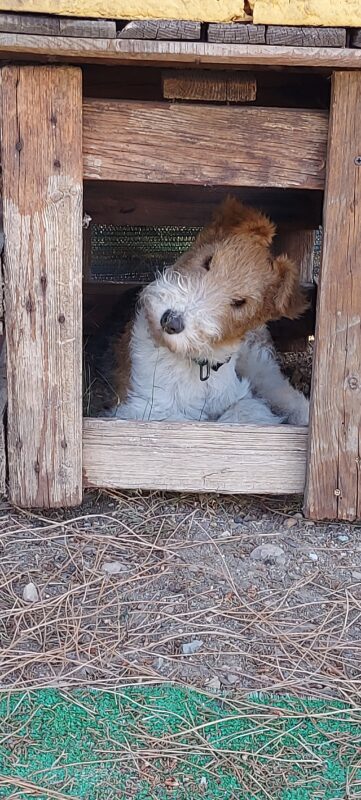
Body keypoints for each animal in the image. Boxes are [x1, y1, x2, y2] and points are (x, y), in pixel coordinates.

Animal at [109, 199, 310, 424]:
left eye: (240, 303)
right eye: (208, 261)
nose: (171, 321)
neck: (196, 364)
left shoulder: (235, 396)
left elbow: (245, 410)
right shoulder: (143, 409)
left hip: (256, 360)